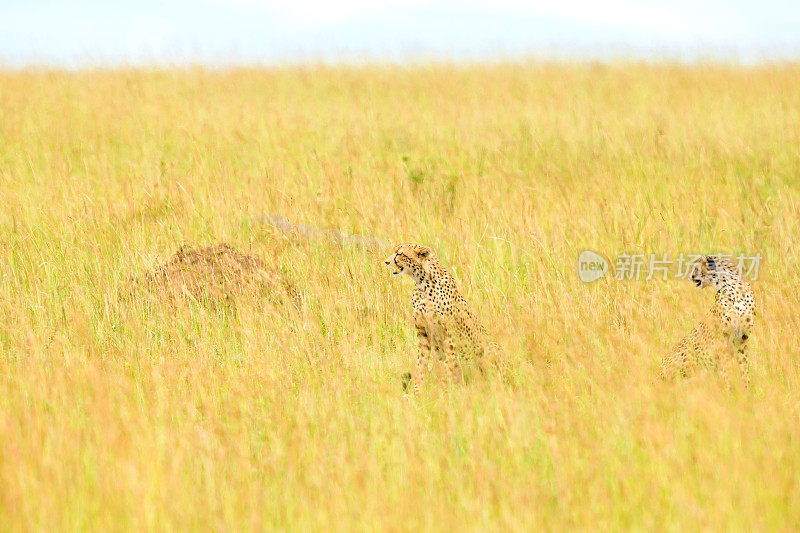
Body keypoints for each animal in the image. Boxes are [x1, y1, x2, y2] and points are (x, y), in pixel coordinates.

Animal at [384, 242, 490, 390]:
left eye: (400, 254)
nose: (386, 262)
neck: (422, 282)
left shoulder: (449, 333)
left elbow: (450, 363)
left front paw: (450, 388)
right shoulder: (422, 333)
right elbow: (421, 363)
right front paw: (418, 389)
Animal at [664, 254, 756, 386]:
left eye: (696, 268)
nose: (690, 277)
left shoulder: (742, 338)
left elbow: (744, 367)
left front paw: (746, 387)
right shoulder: (722, 340)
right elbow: (726, 369)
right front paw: (729, 387)